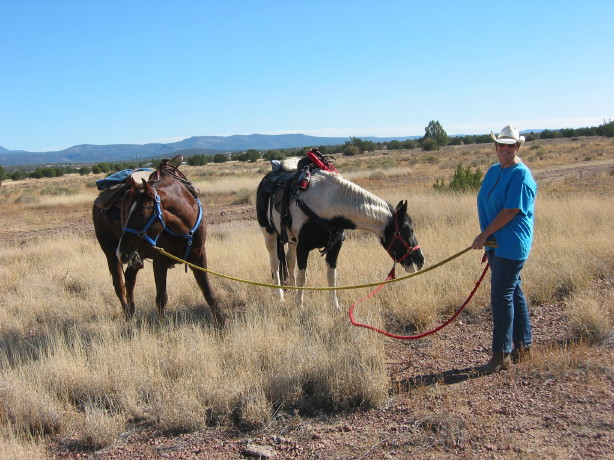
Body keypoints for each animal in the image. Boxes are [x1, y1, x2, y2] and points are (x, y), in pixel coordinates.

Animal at [91, 160, 226, 326]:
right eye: (128, 211)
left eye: (142, 213)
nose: (121, 252)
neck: (184, 228)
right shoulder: (159, 261)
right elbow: (161, 298)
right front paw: (161, 326)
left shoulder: (199, 256)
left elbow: (208, 292)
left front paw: (221, 325)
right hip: (111, 253)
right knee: (119, 285)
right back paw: (128, 316)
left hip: (134, 255)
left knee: (129, 279)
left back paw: (132, 312)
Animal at [258, 161, 426, 310]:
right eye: (408, 230)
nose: (420, 260)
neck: (328, 202)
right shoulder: (303, 247)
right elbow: (302, 276)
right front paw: (299, 306)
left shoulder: (335, 247)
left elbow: (331, 276)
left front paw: (335, 306)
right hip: (269, 235)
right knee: (275, 264)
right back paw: (280, 295)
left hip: (291, 240)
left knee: (289, 262)